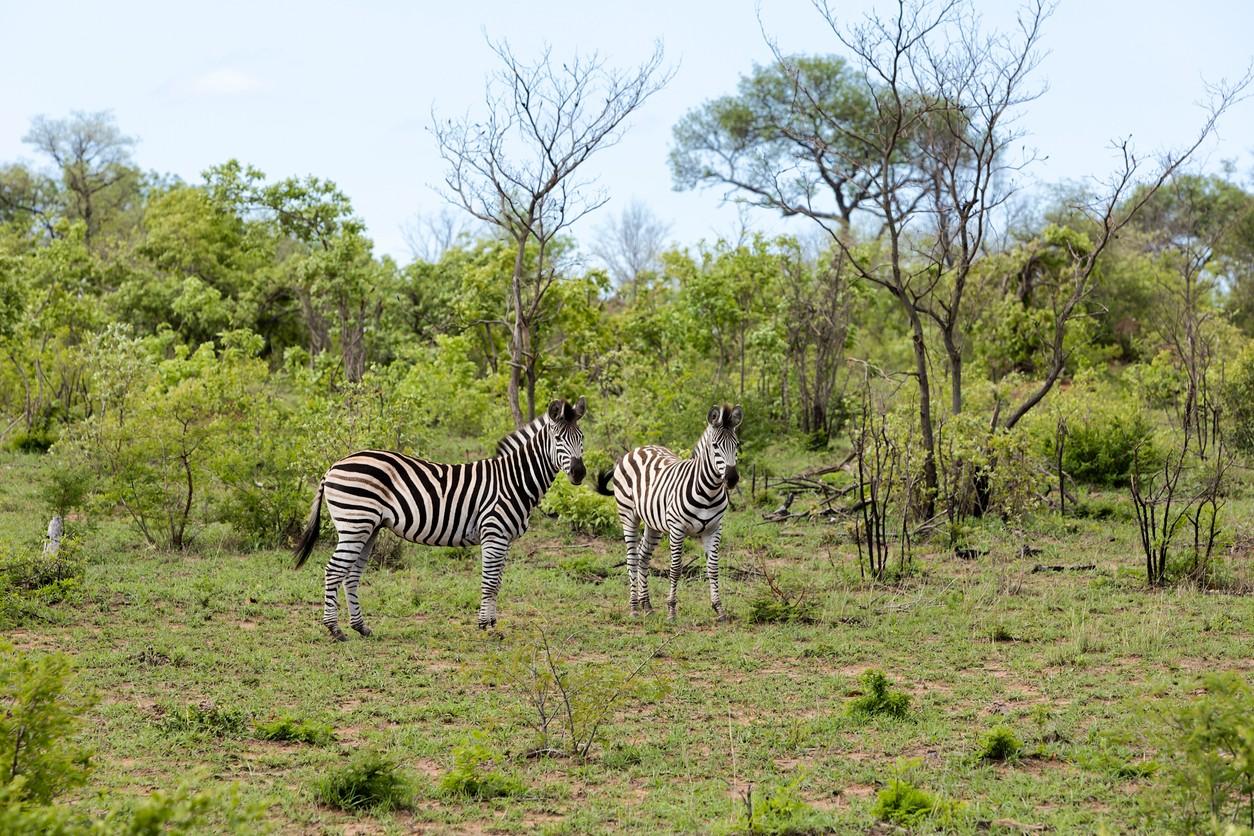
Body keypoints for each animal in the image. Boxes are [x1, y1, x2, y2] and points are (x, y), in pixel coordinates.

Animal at [293, 396, 586, 636]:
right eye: (558, 439)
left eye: (581, 439)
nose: (579, 473)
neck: (513, 480)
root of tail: (333, 466)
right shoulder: (493, 534)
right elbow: (490, 582)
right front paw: (485, 627)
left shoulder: (505, 539)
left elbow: (498, 583)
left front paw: (492, 623)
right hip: (354, 524)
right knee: (334, 570)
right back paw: (334, 629)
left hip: (368, 528)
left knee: (351, 574)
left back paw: (361, 627)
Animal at [591, 406, 737, 621]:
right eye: (715, 445)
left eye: (737, 445)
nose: (732, 479)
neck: (709, 491)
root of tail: (638, 449)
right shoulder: (677, 529)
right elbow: (675, 569)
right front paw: (672, 610)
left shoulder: (714, 529)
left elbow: (713, 568)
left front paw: (719, 609)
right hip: (628, 515)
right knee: (632, 558)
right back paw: (634, 607)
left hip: (653, 523)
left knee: (643, 556)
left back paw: (647, 605)